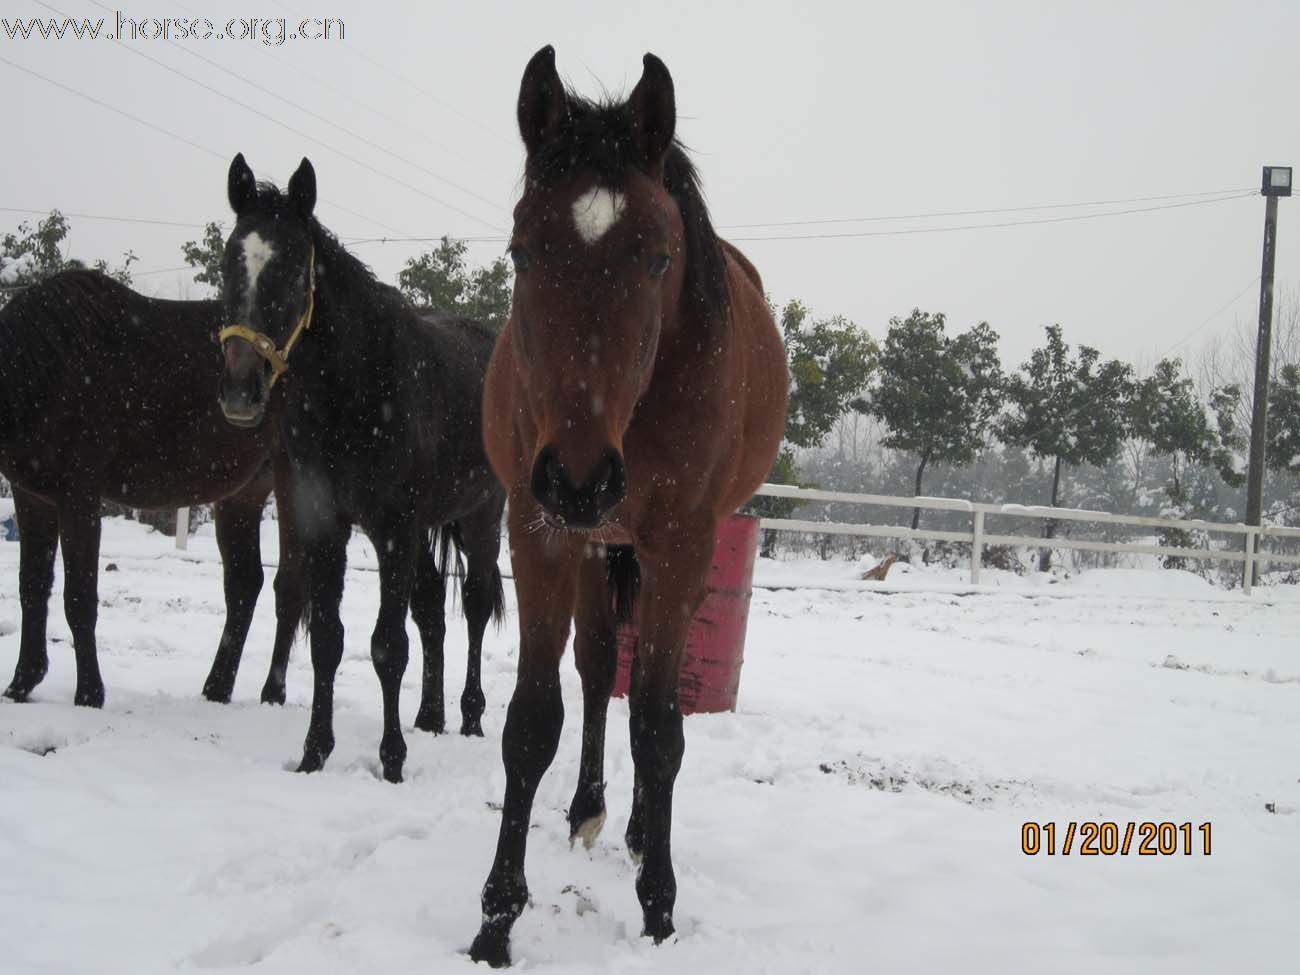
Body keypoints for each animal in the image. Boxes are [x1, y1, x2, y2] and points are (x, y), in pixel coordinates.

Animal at [0, 267, 301, 712]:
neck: (46, 368)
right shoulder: (32, 497)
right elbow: (32, 586)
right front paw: (21, 684)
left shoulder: (78, 496)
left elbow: (79, 596)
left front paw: (89, 694)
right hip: (242, 495)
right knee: (245, 584)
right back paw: (216, 689)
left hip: (292, 488)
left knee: (289, 587)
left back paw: (272, 694)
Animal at [470, 47, 785, 972]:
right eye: (521, 250)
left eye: (655, 257)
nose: (579, 476)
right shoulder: (535, 531)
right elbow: (534, 719)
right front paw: (495, 920)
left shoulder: (681, 543)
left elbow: (659, 725)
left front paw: (660, 909)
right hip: (591, 541)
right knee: (598, 665)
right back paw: (589, 808)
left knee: (646, 690)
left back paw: (645, 831)